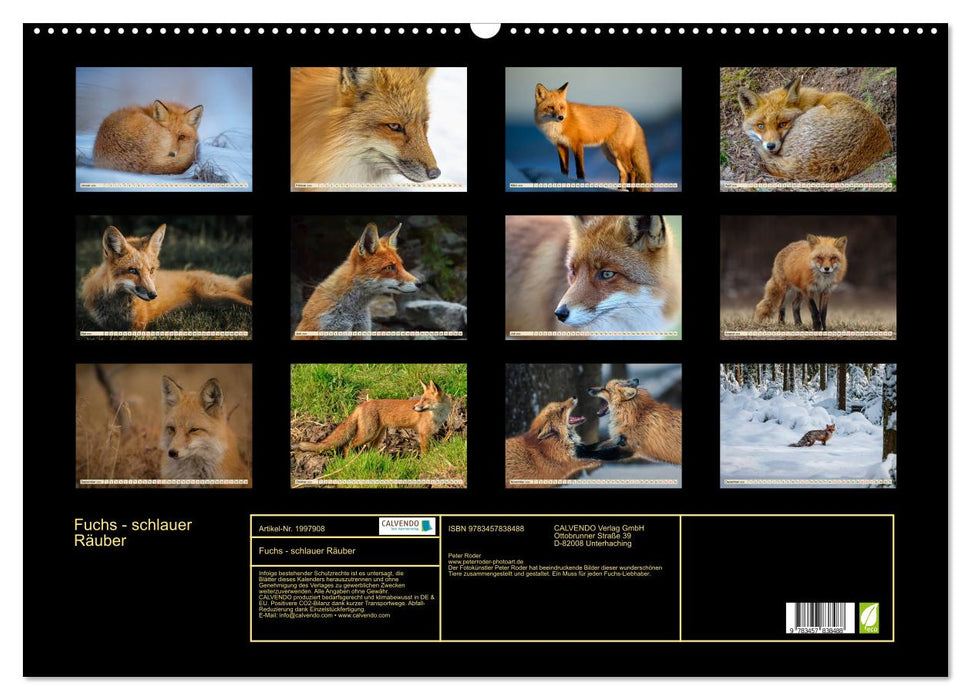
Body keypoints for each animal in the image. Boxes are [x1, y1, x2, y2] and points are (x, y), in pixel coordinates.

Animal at [80, 224, 253, 332]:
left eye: (151, 270)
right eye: (133, 270)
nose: (153, 295)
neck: (116, 307)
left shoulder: (138, 325)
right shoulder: (102, 325)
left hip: (218, 296)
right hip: (215, 303)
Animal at [292, 380, 450, 456]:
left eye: (425, 400)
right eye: (421, 399)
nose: (414, 408)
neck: (438, 414)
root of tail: (363, 403)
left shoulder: (429, 434)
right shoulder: (423, 434)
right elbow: (425, 452)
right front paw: (424, 461)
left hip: (377, 436)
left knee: (369, 450)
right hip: (368, 434)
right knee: (347, 445)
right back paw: (349, 461)